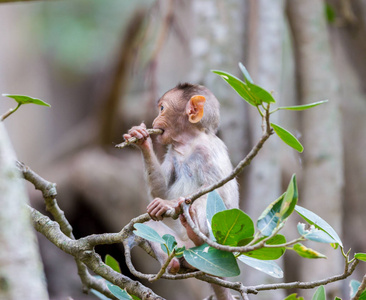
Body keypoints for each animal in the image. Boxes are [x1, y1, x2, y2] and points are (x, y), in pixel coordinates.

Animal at [124, 82, 239, 300]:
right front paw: (142, 139)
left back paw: (196, 233)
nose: (154, 120)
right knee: (146, 225)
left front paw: (168, 204)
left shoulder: (207, 151)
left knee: (203, 200)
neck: (188, 143)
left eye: (162, 108)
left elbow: (218, 190)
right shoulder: (172, 153)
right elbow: (160, 191)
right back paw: (173, 264)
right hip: (179, 247)